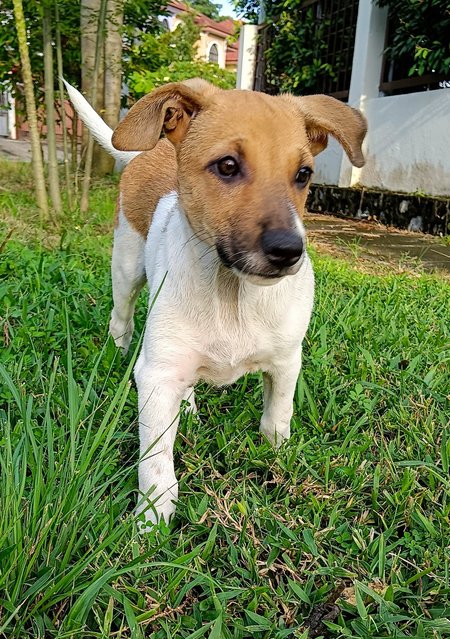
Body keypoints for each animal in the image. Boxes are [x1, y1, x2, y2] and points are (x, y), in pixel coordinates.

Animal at [65, 79, 366, 528]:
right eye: (226, 166)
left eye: (303, 175)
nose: (289, 251)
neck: (232, 294)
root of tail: (145, 152)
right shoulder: (157, 376)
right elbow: (156, 461)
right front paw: (152, 519)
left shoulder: (286, 360)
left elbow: (278, 415)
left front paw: (277, 455)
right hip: (126, 269)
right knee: (121, 321)